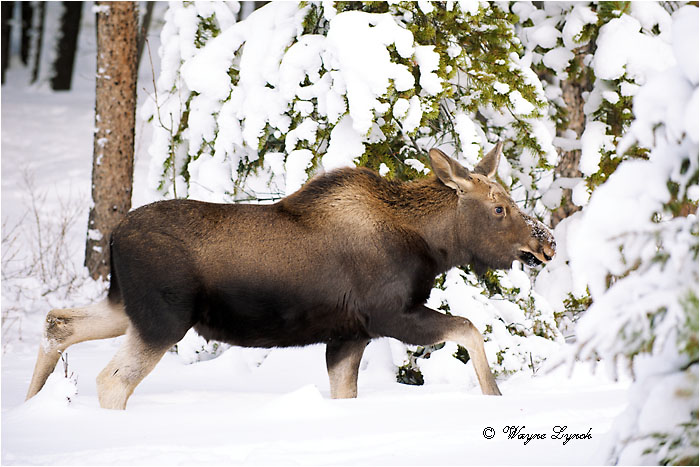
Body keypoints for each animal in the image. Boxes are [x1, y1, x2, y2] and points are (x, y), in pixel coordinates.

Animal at [25, 143, 555, 409]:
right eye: (500, 207)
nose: (546, 241)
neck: (433, 247)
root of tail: (114, 237)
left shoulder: (349, 335)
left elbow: (346, 395)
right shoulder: (391, 316)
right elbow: (470, 328)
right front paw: (495, 398)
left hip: (127, 306)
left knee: (58, 322)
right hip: (163, 319)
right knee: (111, 380)